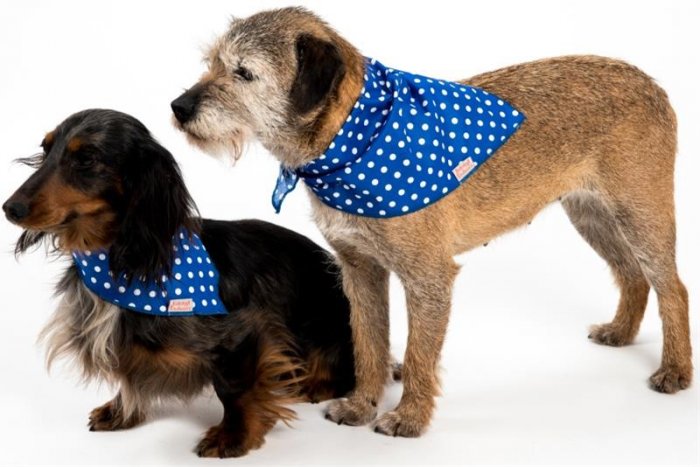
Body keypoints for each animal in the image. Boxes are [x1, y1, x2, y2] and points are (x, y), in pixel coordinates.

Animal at [2, 108, 371, 458]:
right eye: (46, 148)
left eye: (86, 158)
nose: (10, 208)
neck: (124, 262)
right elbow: (130, 375)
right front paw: (122, 411)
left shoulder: (245, 331)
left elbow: (234, 390)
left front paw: (233, 436)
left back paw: (314, 385)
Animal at [171, 7, 692, 437]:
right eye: (212, 63)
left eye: (244, 73)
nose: (179, 107)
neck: (352, 137)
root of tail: (653, 84)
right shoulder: (360, 271)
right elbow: (369, 343)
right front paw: (361, 405)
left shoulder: (428, 277)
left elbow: (420, 355)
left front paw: (408, 417)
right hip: (590, 216)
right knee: (631, 274)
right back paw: (621, 332)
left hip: (641, 214)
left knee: (672, 287)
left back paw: (676, 371)